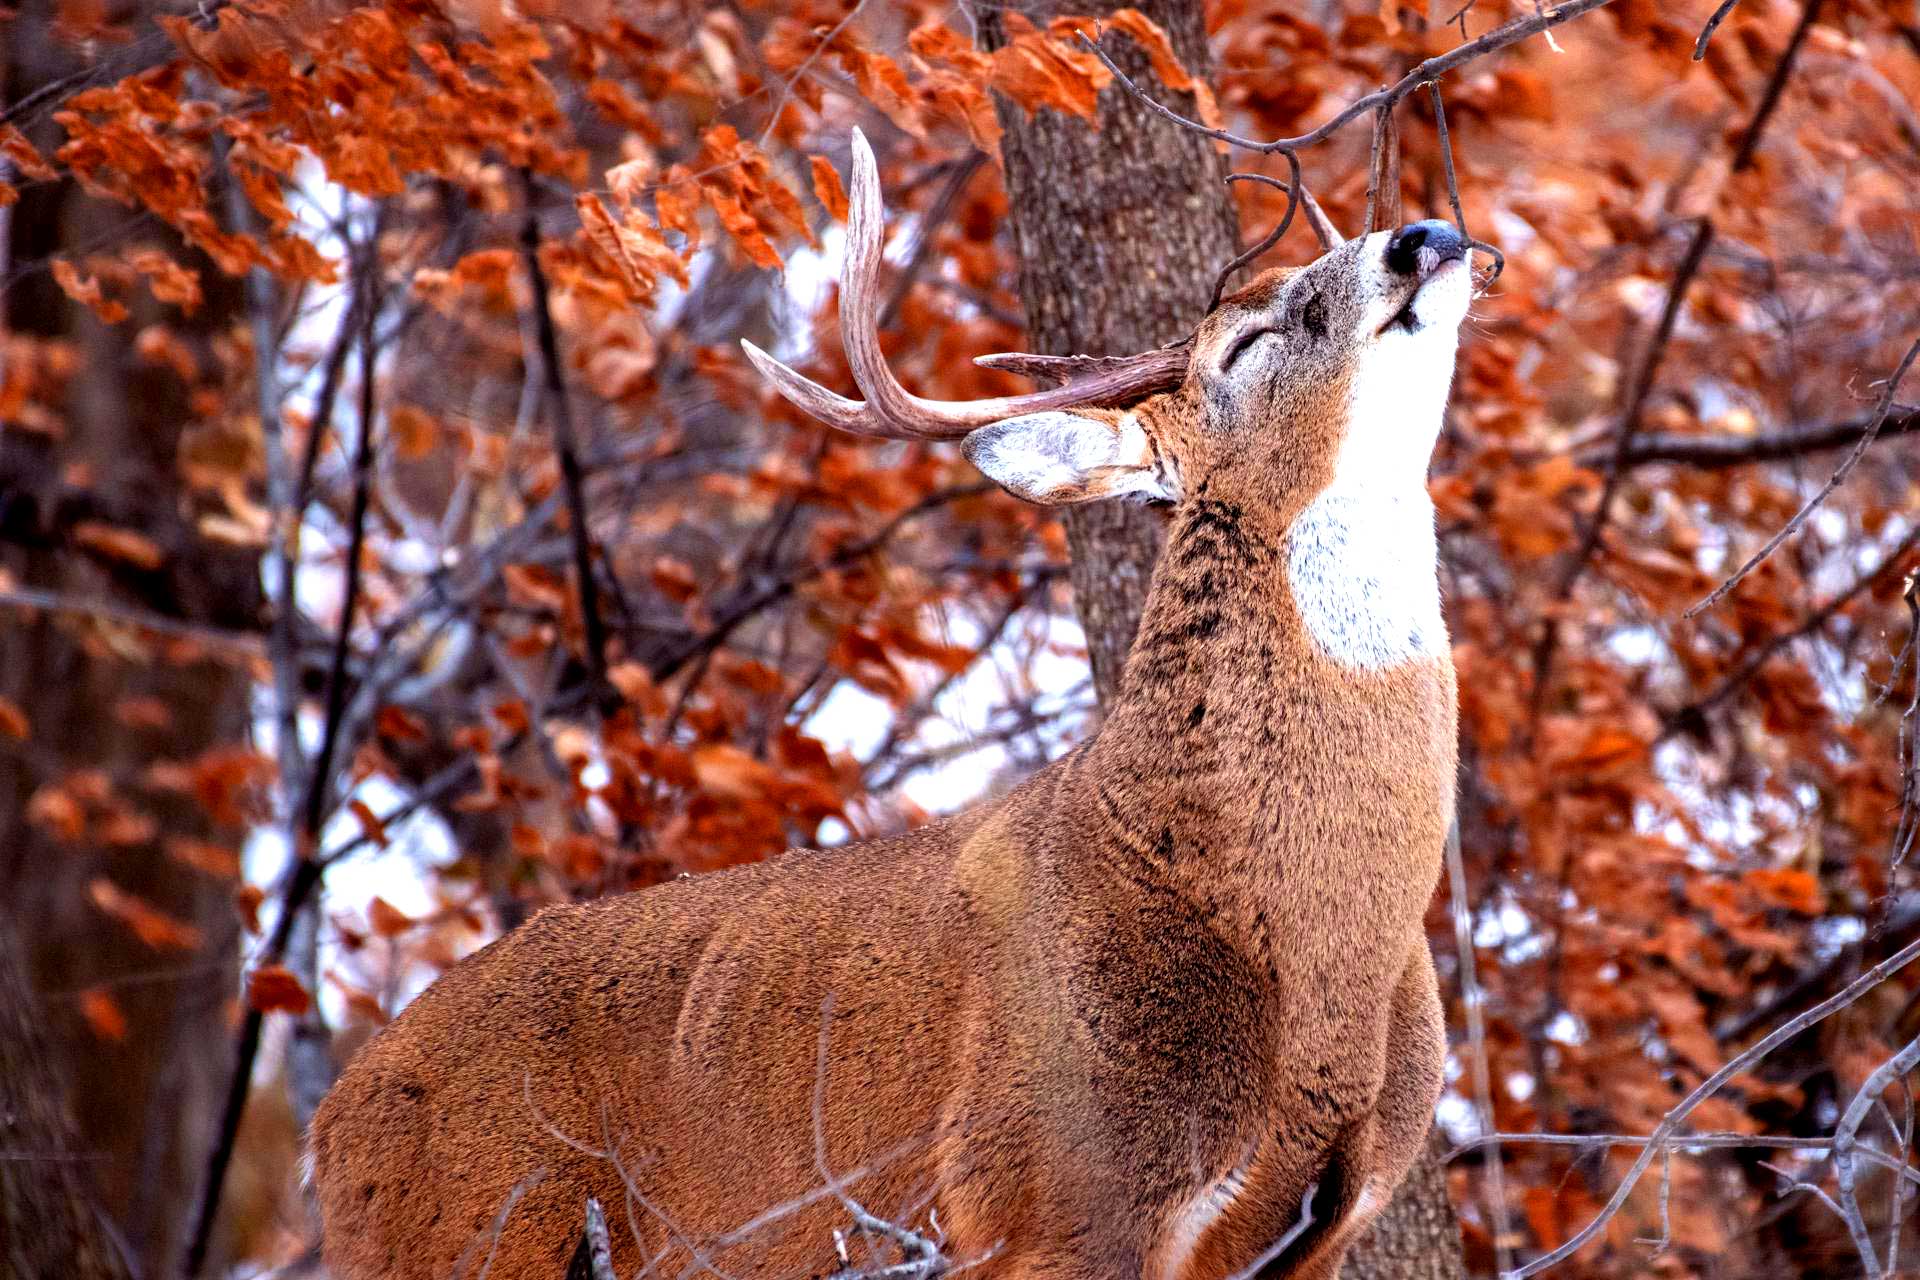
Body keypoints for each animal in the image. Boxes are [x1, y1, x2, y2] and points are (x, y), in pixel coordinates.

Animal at [310, 128, 1472, 1280]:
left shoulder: (1320, 1226)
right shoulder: (1050, 1193)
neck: (1314, 942)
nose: (1423, 236)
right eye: (1245, 343)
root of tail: (334, 1122)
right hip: (471, 1231)